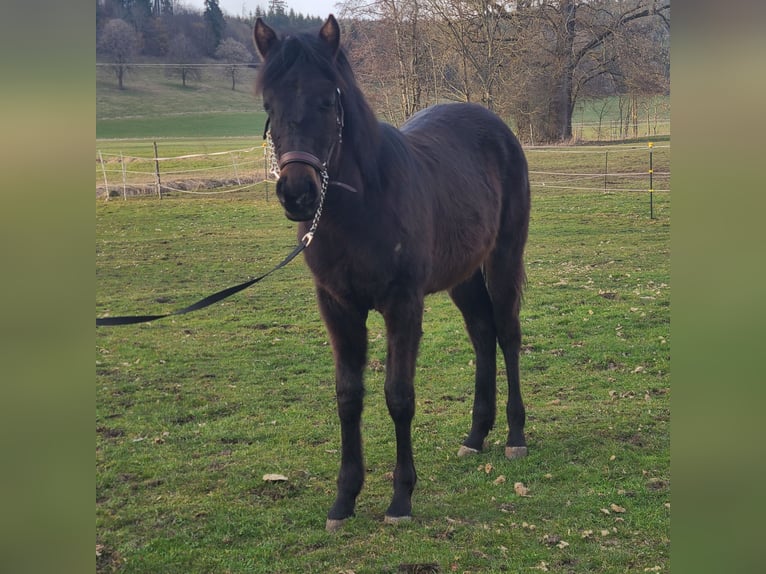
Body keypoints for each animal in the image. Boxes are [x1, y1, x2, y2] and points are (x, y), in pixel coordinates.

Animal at [253, 15, 531, 531]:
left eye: (328, 100)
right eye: (269, 104)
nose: (297, 193)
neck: (362, 206)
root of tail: (497, 127)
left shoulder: (403, 304)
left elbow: (399, 395)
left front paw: (401, 498)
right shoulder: (338, 306)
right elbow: (348, 396)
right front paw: (343, 499)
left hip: (503, 258)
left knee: (506, 334)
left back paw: (515, 436)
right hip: (463, 276)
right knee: (482, 333)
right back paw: (475, 435)